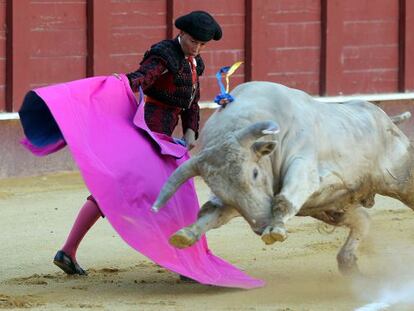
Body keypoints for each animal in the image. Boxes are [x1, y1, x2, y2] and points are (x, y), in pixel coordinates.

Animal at [152, 81, 414, 274]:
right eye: (218, 188)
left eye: (255, 172)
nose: (262, 225)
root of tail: (387, 119)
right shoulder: (244, 201)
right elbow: (211, 213)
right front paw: (185, 235)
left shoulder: (303, 167)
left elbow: (284, 199)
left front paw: (276, 229)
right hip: (333, 207)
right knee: (363, 222)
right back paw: (348, 262)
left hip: (398, 178)